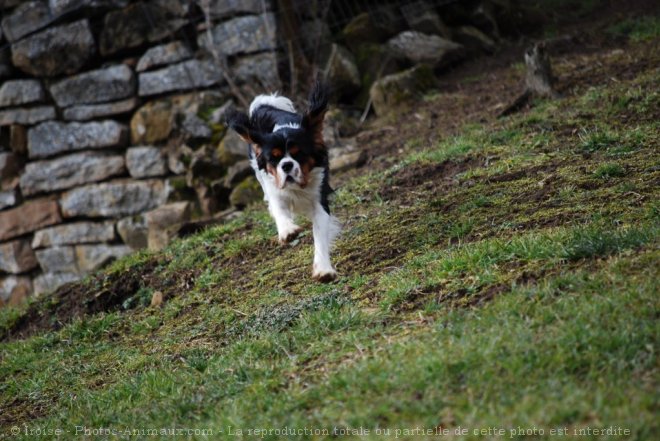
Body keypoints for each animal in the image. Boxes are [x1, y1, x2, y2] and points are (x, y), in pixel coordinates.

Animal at [226, 80, 340, 280]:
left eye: (299, 154)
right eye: (273, 158)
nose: (286, 165)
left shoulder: (319, 198)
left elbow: (319, 233)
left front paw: (323, 269)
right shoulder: (274, 189)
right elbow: (279, 210)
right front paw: (288, 231)